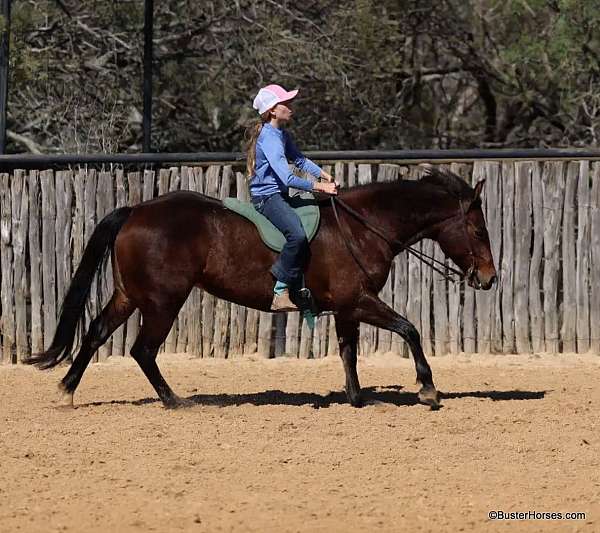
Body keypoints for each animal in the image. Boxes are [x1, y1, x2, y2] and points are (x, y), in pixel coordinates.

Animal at [24, 166, 496, 408]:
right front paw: (428, 389)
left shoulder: (348, 307)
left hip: (129, 296)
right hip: (162, 301)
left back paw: (67, 391)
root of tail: (137, 209)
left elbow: (349, 352)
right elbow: (409, 329)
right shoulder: (360, 300)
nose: (489, 278)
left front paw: (357, 398)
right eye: (477, 230)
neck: (364, 227)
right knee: (143, 350)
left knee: (95, 333)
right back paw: (175, 400)